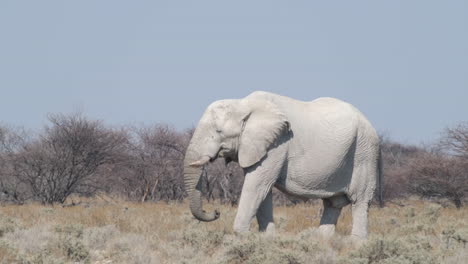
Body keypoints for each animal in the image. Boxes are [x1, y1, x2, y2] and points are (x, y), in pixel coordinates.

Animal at [183, 91, 380, 239]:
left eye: (218, 131)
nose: (216, 211)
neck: (243, 104)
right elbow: (263, 191)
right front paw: (267, 238)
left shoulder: (277, 145)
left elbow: (256, 186)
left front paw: (243, 236)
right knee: (333, 203)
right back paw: (322, 241)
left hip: (365, 152)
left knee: (360, 200)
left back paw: (356, 244)